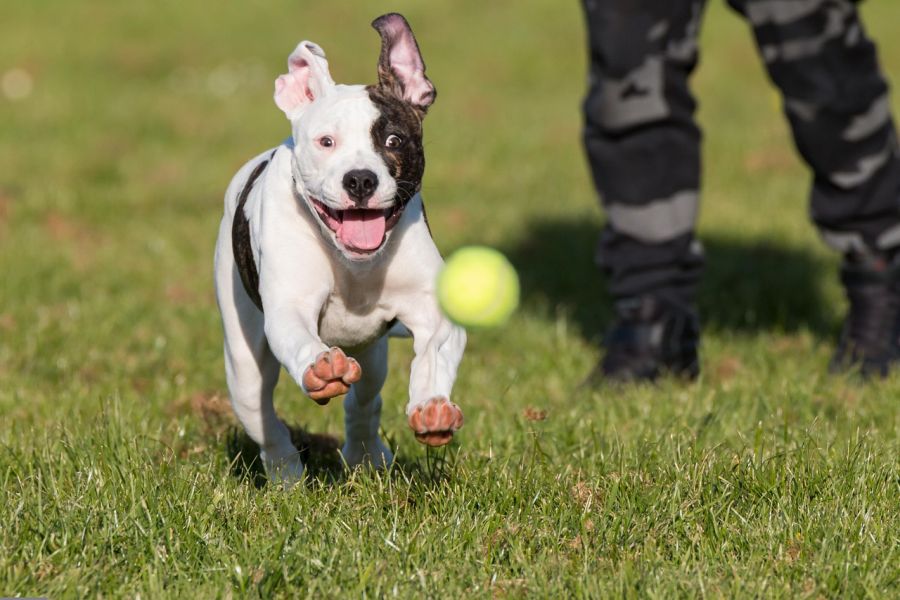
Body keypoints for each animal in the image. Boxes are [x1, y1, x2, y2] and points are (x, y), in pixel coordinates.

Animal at [213, 12, 464, 482]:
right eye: (326, 142)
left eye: (393, 141)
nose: (361, 179)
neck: (355, 265)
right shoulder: (288, 307)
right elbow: (297, 335)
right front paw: (321, 366)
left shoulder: (432, 311)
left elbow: (435, 351)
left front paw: (431, 407)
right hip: (242, 362)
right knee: (263, 417)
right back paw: (286, 474)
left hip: (373, 354)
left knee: (364, 400)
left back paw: (366, 454)